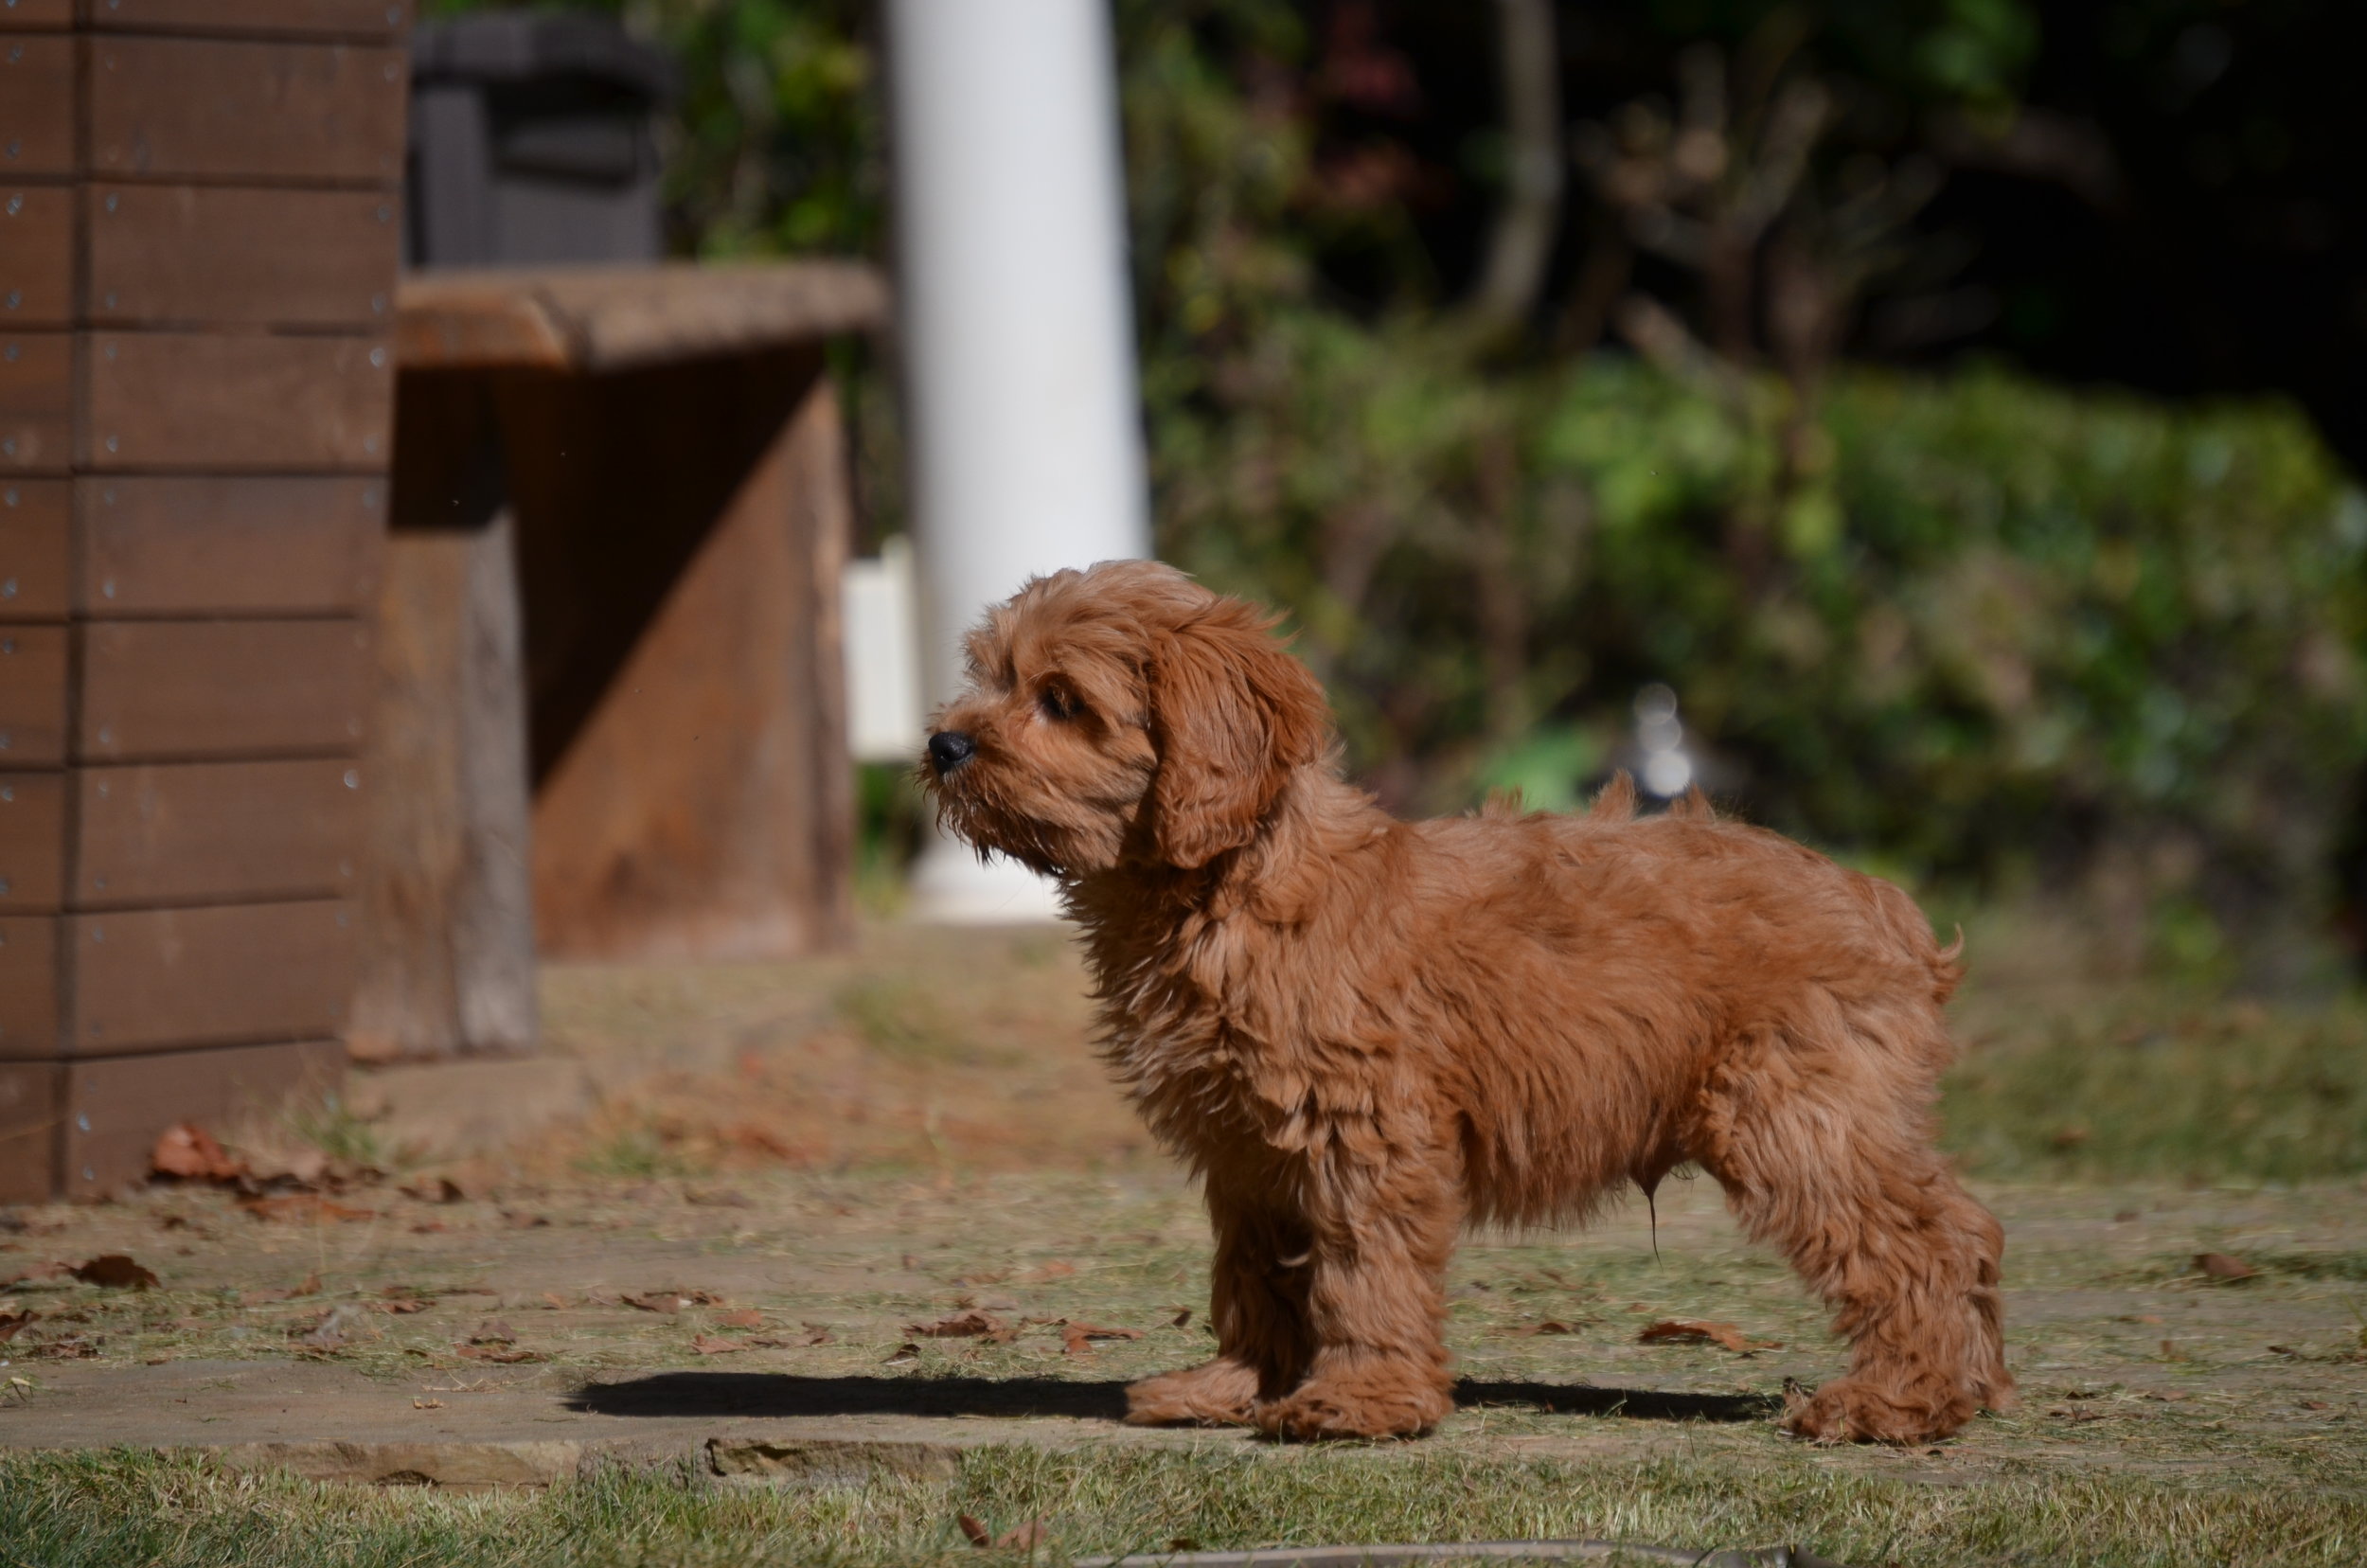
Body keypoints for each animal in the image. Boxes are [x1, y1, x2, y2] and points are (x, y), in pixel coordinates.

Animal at [923, 559, 2017, 1439]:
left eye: (1061, 700)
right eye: (992, 678)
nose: (942, 745)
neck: (1232, 886)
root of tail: (1886, 907)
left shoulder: (1359, 1125)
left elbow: (1361, 1268)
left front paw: (1358, 1404)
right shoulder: (1247, 1150)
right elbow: (1255, 1276)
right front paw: (1237, 1389)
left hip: (1795, 1114)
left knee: (1915, 1244)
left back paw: (1898, 1403)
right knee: (1961, 1225)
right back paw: (1974, 1387)